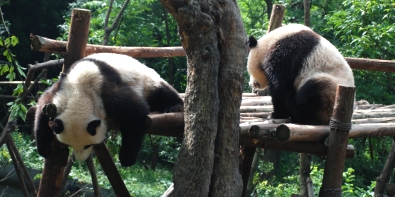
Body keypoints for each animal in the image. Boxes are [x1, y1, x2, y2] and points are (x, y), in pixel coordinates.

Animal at [32, 52, 184, 166]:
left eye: (87, 145)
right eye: (69, 145)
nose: (81, 160)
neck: (80, 93)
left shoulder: (106, 92)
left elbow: (136, 113)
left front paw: (127, 159)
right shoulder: (62, 87)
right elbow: (43, 105)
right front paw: (44, 149)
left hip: (147, 80)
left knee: (160, 91)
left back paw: (174, 106)